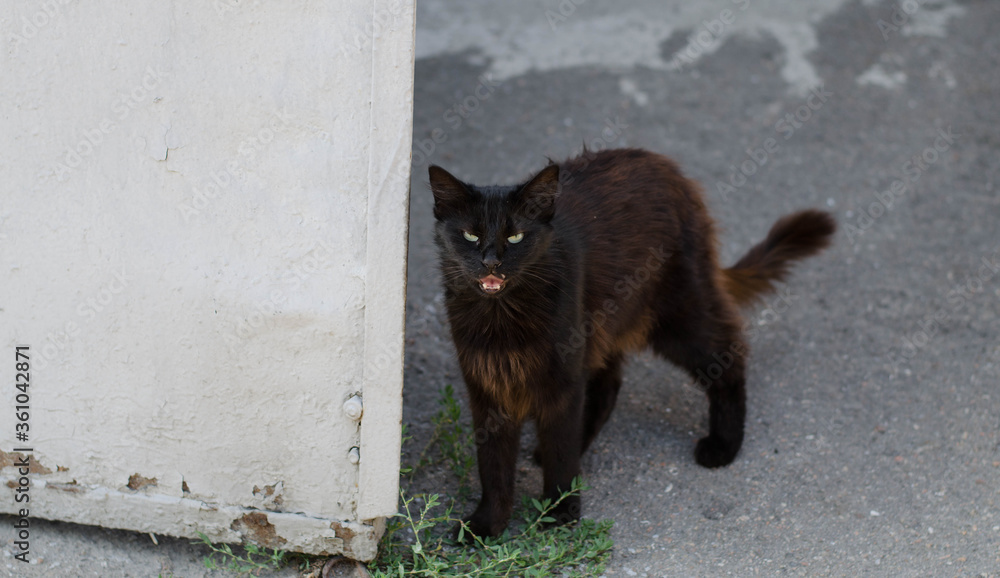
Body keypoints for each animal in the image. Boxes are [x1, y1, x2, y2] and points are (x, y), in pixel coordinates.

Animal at [430, 147, 836, 536]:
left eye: (515, 236)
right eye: (470, 236)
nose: (491, 261)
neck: (501, 322)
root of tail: (669, 169)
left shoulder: (560, 382)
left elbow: (561, 455)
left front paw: (559, 513)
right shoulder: (488, 388)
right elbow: (493, 467)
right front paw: (487, 526)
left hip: (679, 318)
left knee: (729, 355)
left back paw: (723, 446)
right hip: (604, 328)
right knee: (609, 387)